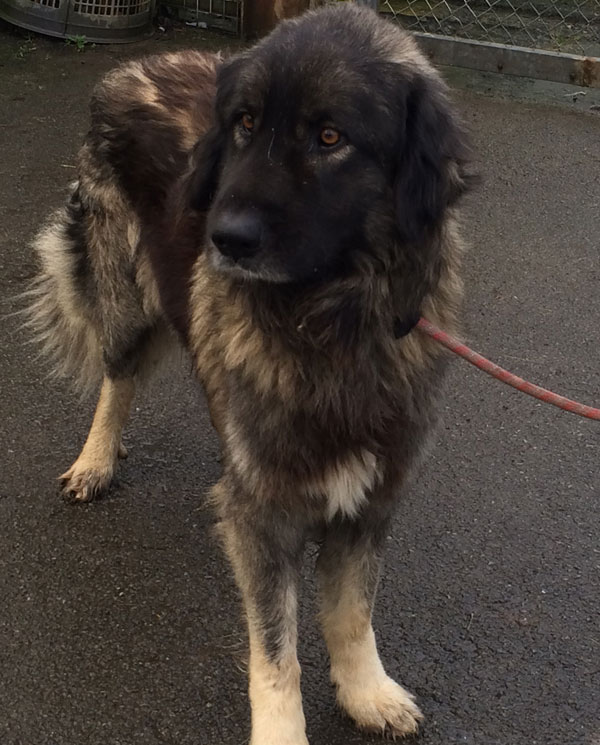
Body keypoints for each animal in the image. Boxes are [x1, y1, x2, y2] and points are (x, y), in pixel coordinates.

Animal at [29, 4, 474, 740]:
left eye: (330, 137)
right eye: (243, 124)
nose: (224, 239)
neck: (329, 318)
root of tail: (134, 65)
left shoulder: (370, 495)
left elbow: (352, 612)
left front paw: (364, 690)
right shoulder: (263, 518)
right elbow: (276, 648)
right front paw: (283, 728)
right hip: (129, 300)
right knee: (118, 378)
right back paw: (97, 458)